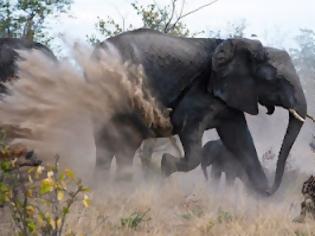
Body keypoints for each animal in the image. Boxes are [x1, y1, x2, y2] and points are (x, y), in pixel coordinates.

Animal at [92, 27, 308, 195]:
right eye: (276, 80)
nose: (270, 189)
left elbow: (239, 137)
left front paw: (259, 194)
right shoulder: (199, 92)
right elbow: (188, 128)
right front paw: (165, 166)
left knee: (117, 144)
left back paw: (112, 187)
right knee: (116, 142)